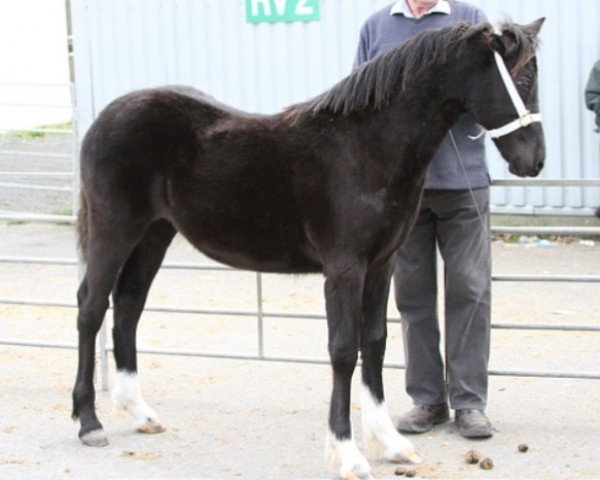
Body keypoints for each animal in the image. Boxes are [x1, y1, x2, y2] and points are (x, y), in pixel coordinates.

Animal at [74, 19, 544, 480]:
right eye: (521, 77)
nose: (534, 161)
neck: (367, 146)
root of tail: (105, 117)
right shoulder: (344, 270)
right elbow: (343, 351)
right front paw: (348, 454)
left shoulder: (381, 266)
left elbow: (375, 343)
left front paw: (389, 443)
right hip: (115, 229)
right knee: (91, 308)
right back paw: (89, 424)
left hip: (154, 233)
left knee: (128, 307)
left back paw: (140, 413)